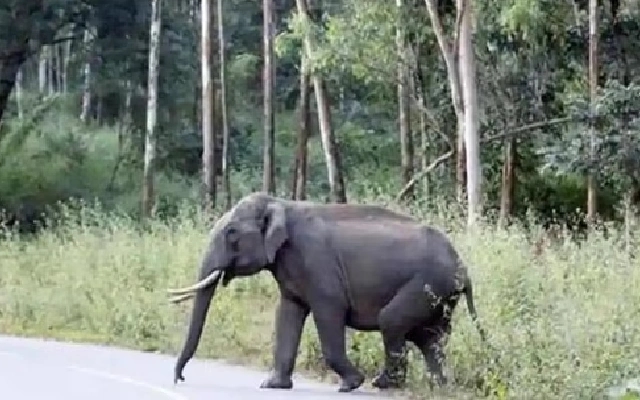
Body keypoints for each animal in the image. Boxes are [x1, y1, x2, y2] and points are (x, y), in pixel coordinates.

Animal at [167, 192, 486, 393]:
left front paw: (350, 384)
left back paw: (383, 383)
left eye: (231, 233)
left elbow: (329, 311)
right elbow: (288, 313)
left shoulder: (317, 263)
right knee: (431, 338)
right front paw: (272, 385)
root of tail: (464, 267)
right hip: (441, 295)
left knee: (393, 321)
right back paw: (440, 386)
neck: (282, 203)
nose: (180, 378)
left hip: (427, 284)